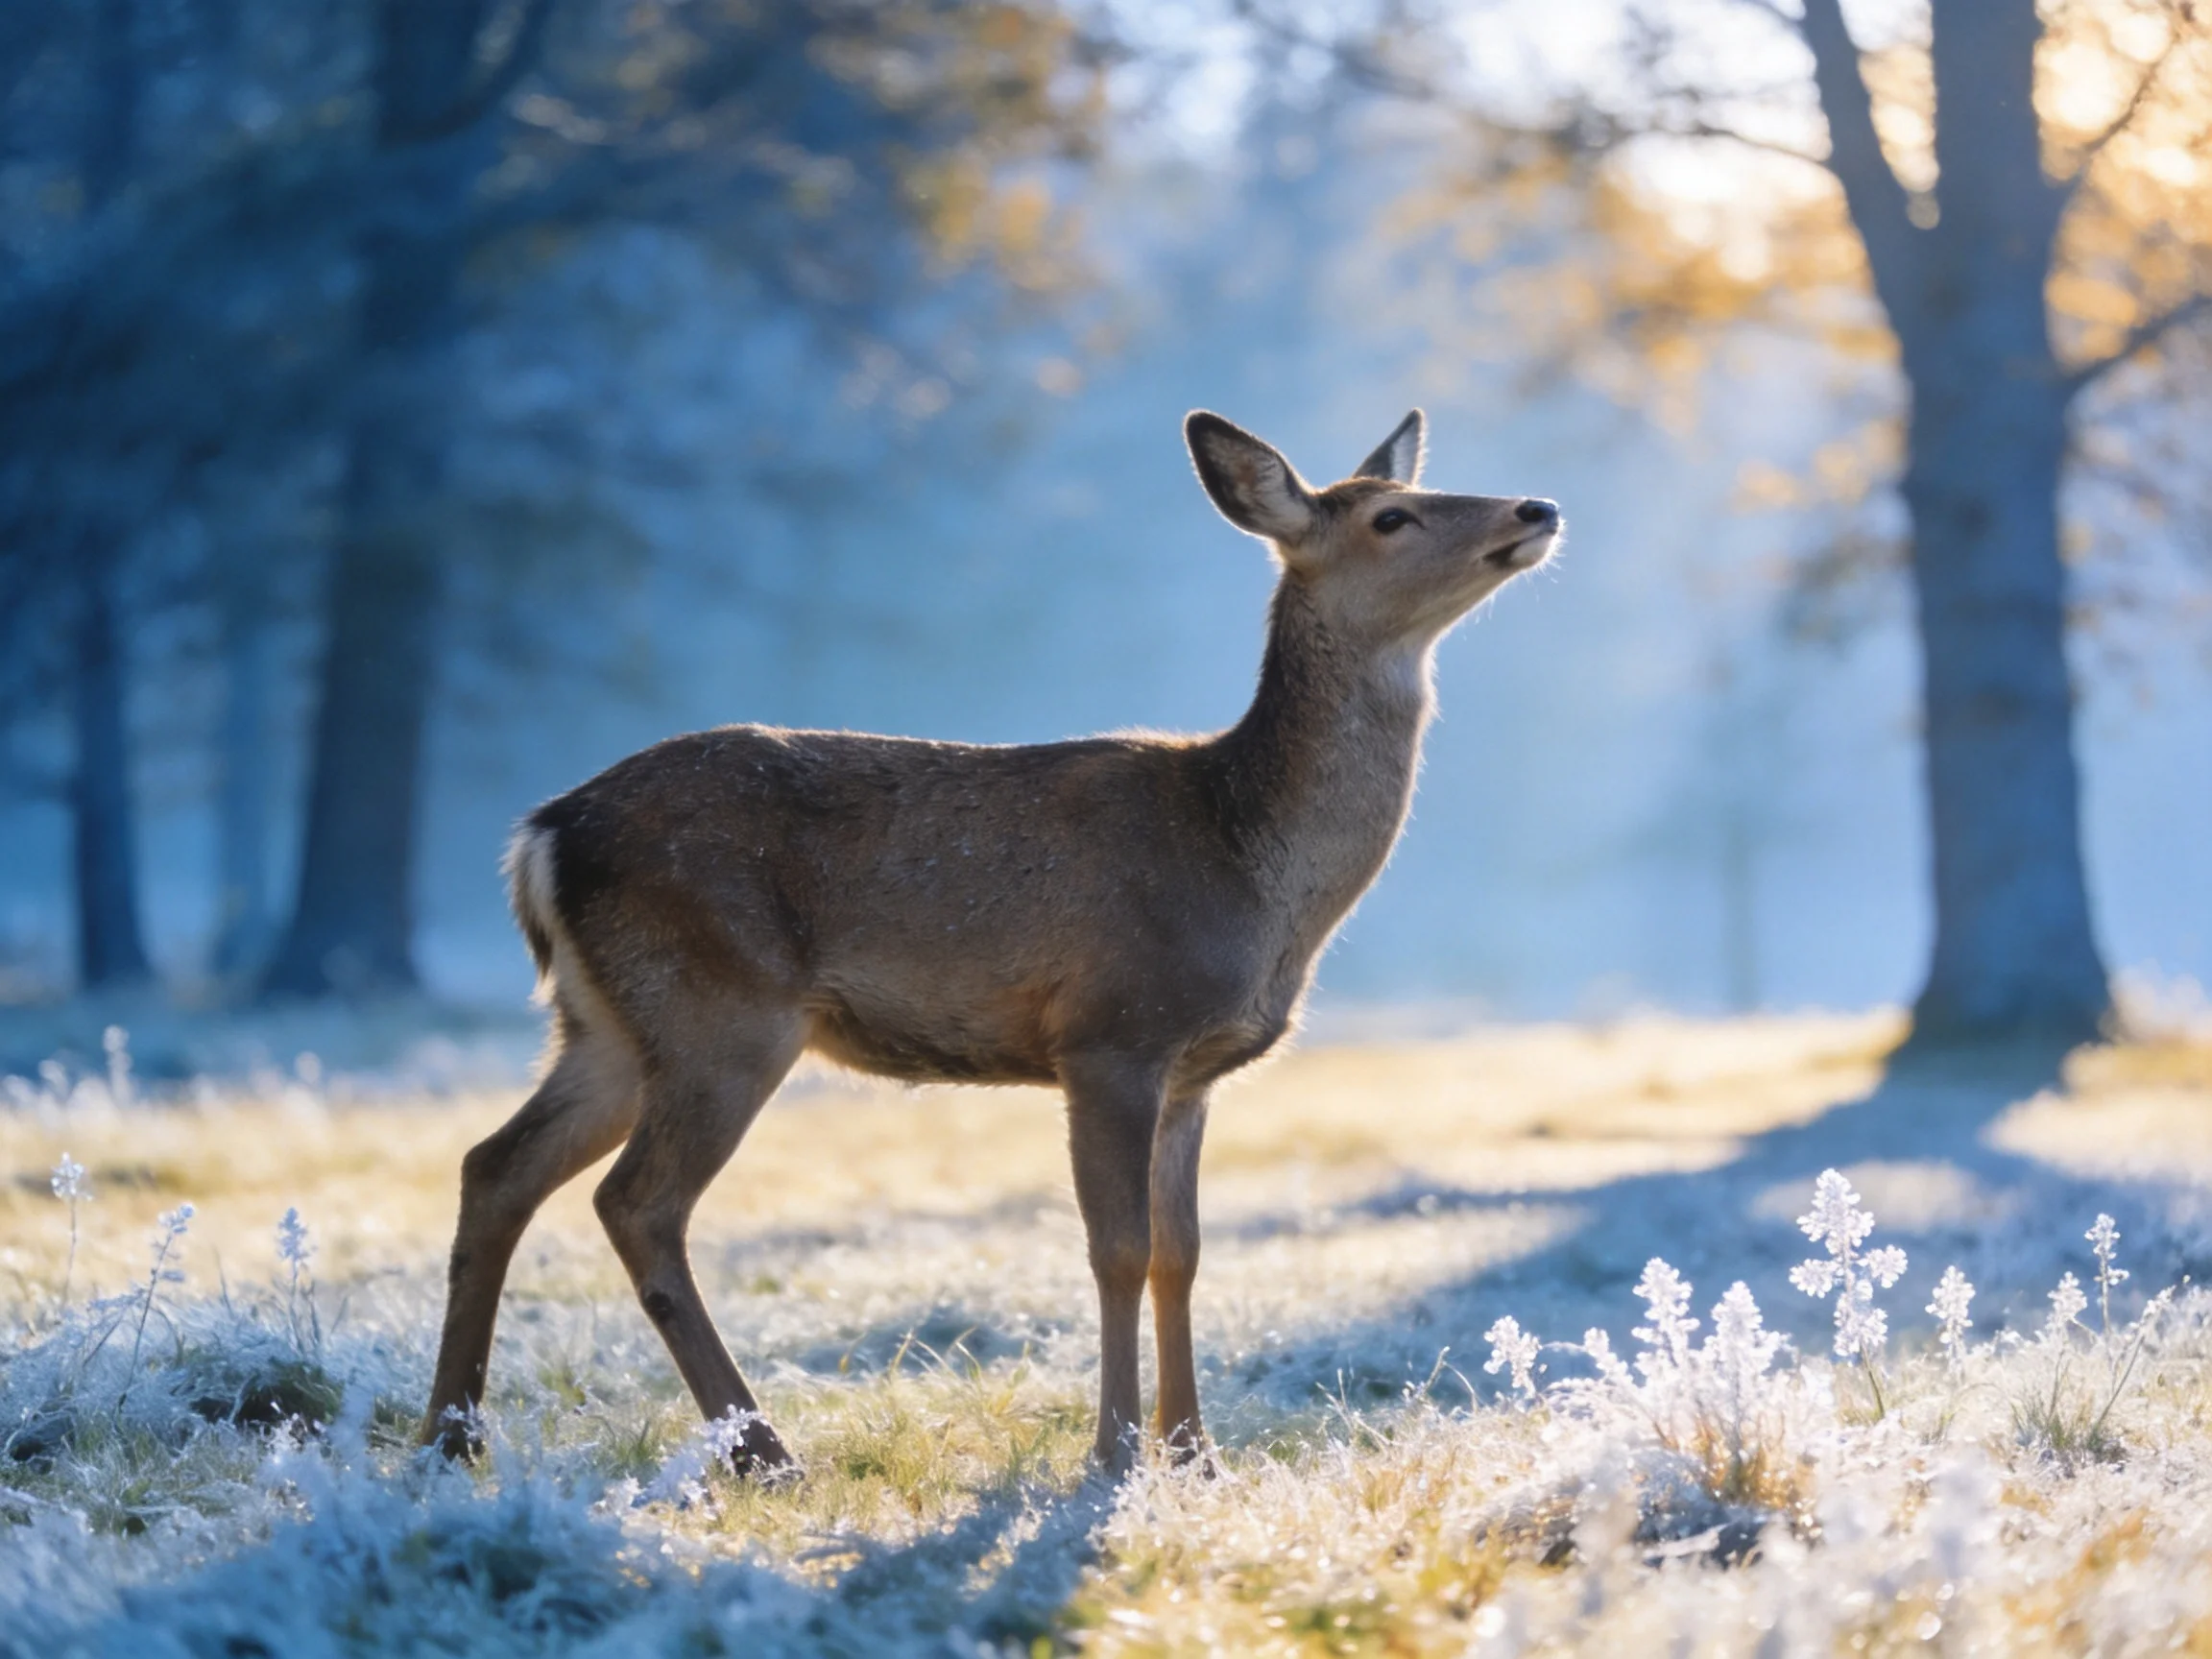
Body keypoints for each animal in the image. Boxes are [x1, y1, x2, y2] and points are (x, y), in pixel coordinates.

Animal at [421, 408, 1561, 1475]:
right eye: (1392, 517)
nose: (1536, 508)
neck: (1245, 864)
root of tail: (542, 836)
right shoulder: (1110, 1032)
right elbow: (1117, 1248)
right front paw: (1114, 1454)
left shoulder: (1193, 1072)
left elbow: (1183, 1253)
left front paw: (1197, 1453)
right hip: (718, 1007)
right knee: (638, 1203)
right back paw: (763, 1451)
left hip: (610, 1023)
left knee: (496, 1165)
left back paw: (451, 1437)